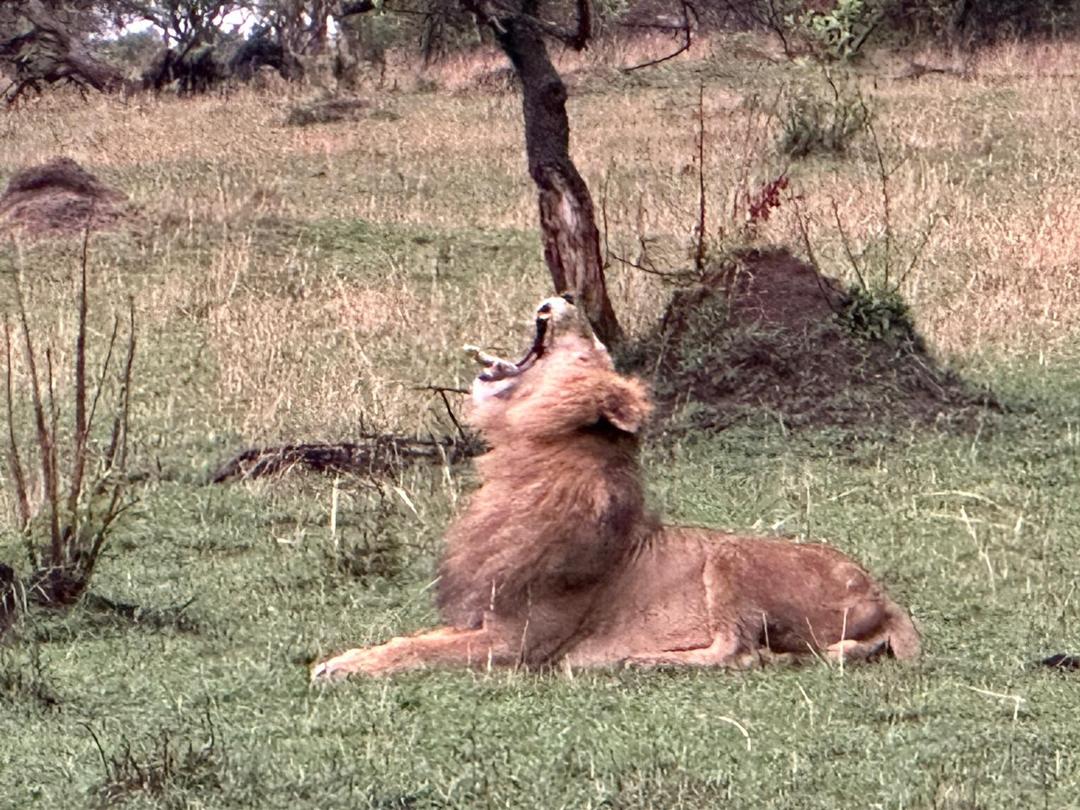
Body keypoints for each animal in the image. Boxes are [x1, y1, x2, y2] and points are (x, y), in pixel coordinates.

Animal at [312, 295, 919, 681]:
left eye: (593, 349)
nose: (566, 295)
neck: (531, 457)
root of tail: (883, 595)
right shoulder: (482, 617)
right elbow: (411, 640)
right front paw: (347, 655)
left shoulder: (515, 644)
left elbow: (417, 654)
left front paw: (341, 667)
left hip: (729, 556)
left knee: (737, 653)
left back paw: (645, 662)